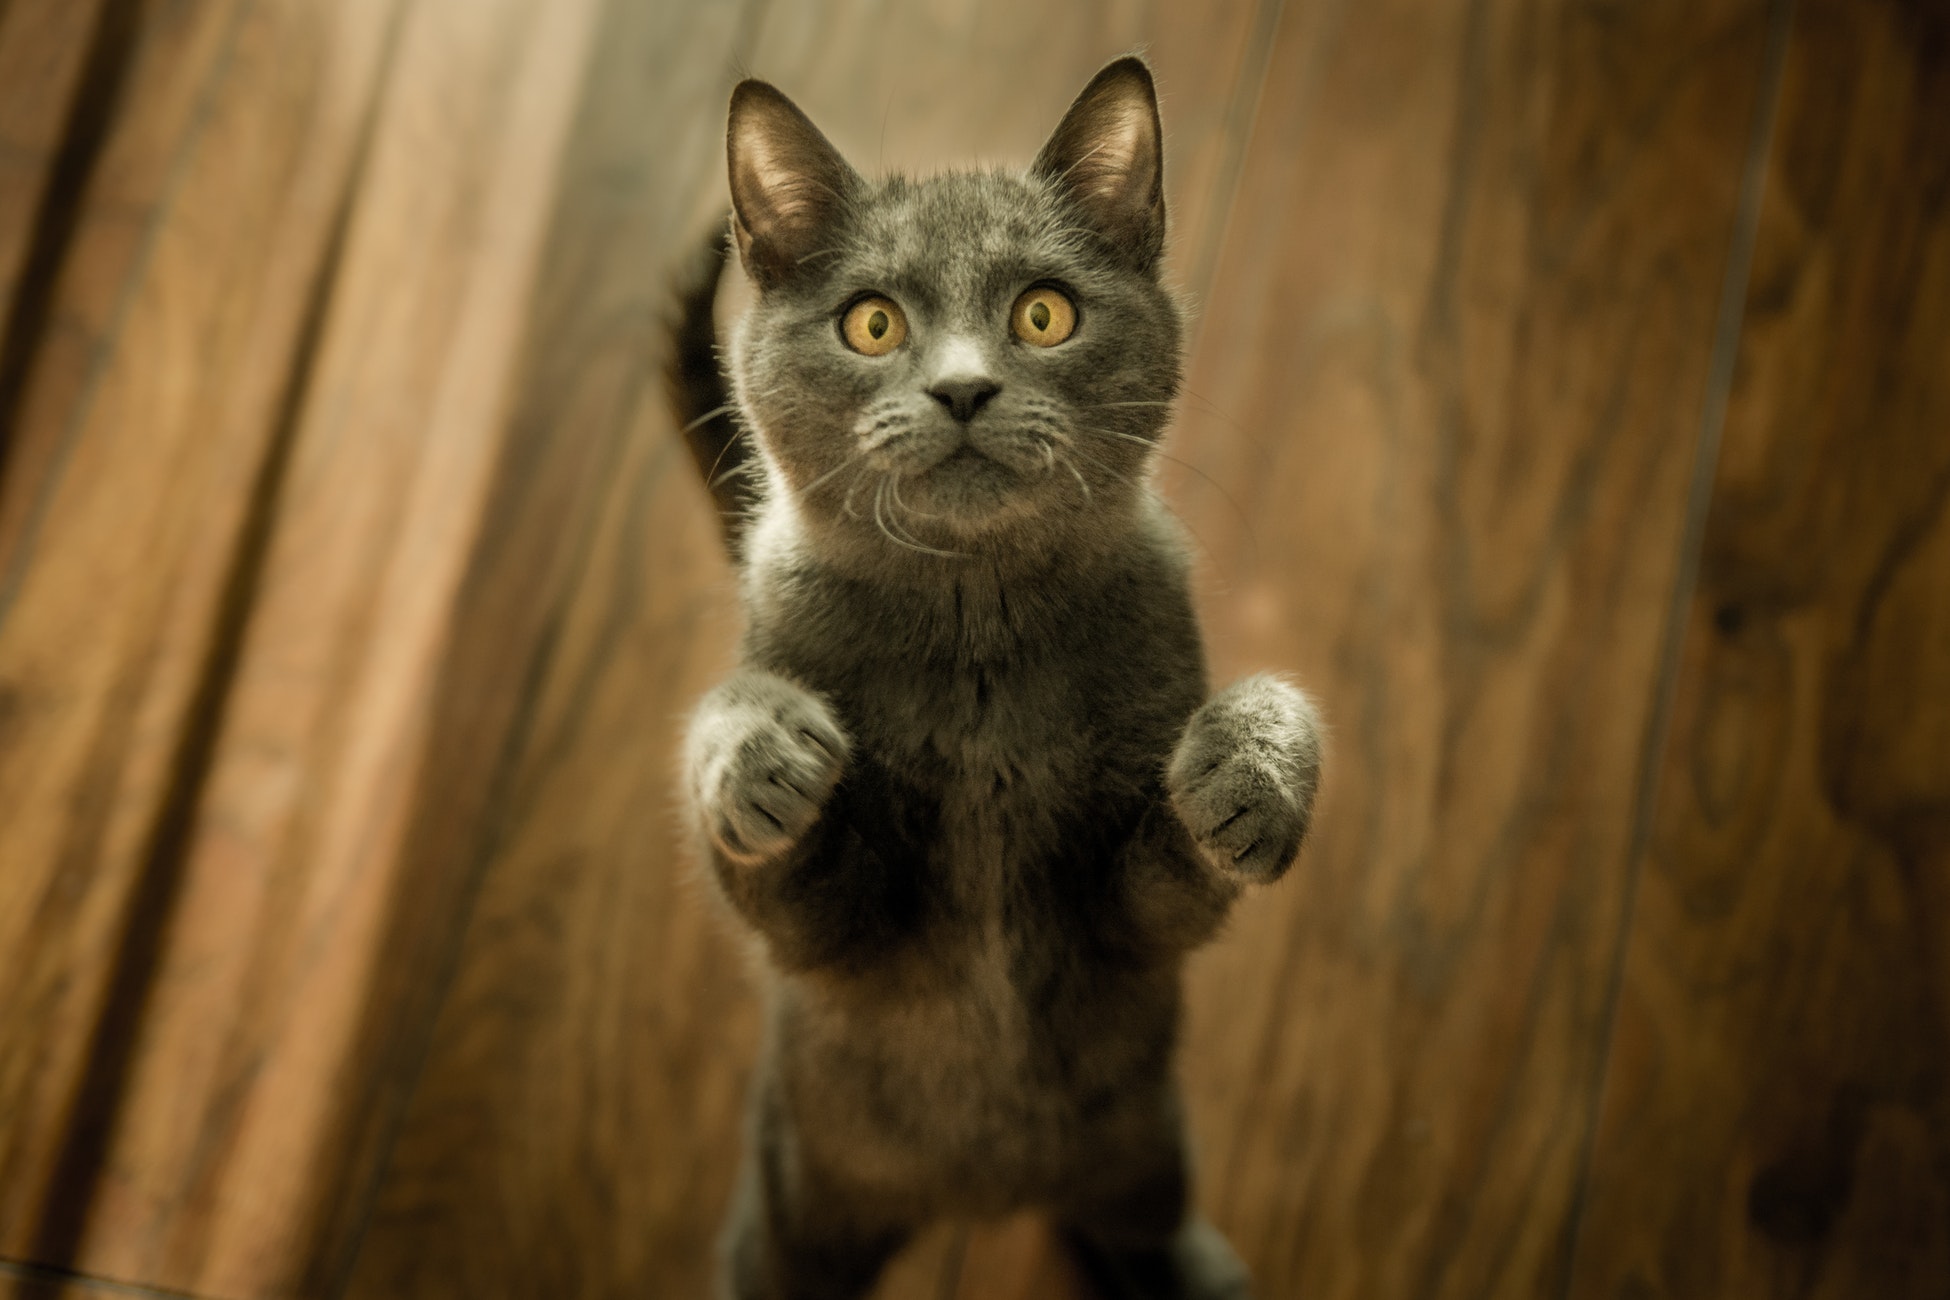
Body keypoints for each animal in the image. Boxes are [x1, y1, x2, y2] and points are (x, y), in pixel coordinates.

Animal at [670, 53, 1326, 1300]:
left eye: (1043, 312)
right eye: (873, 322)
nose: (964, 389)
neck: (978, 636)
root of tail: (984, 1195)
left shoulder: (1129, 930)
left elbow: (1183, 864)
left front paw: (1253, 769)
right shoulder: (832, 947)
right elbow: (774, 866)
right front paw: (764, 752)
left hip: (1143, 1144)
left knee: (1145, 1223)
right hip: (794, 1191)